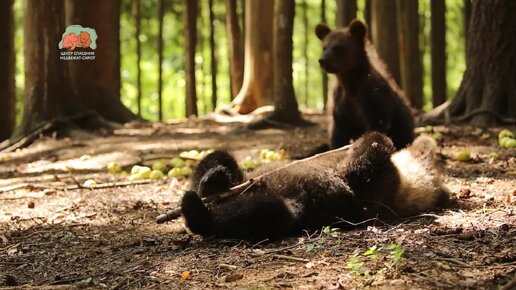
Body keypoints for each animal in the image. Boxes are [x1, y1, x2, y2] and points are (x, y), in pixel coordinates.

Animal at [314, 19, 416, 150]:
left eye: (338, 47)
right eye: (324, 47)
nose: (322, 60)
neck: (349, 82)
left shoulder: (373, 99)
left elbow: (375, 126)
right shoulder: (340, 106)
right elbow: (338, 135)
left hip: (403, 120)